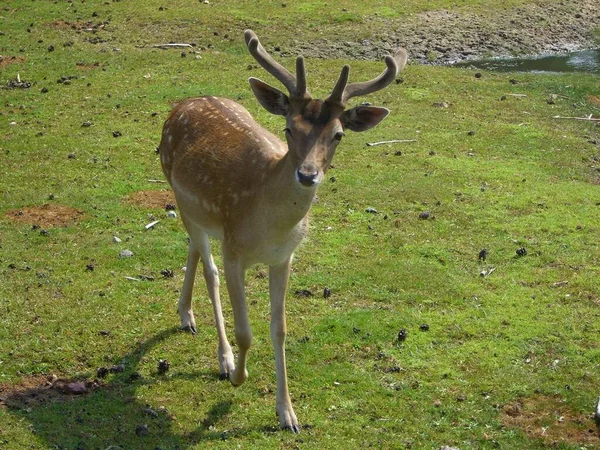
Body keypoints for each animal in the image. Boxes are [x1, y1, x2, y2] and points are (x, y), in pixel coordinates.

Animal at [158, 30, 408, 432]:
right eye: (289, 127)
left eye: (338, 135)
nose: (307, 174)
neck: (268, 226)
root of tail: (184, 103)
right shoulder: (234, 250)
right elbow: (245, 331)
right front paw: (238, 376)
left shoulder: (284, 258)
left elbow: (280, 328)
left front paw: (288, 414)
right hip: (179, 195)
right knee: (209, 269)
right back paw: (222, 357)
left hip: (197, 214)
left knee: (194, 248)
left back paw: (186, 315)